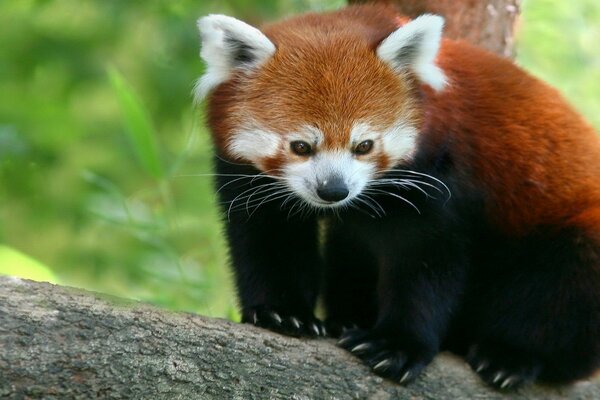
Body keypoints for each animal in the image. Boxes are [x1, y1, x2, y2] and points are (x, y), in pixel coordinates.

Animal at [196, 3, 600, 390]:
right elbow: (269, 236)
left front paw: (398, 345)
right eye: (300, 146)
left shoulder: (437, 174)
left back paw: (511, 357)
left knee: (563, 288)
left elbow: (424, 259)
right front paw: (282, 312)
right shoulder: (248, 176)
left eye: (363, 145)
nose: (334, 190)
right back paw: (347, 319)